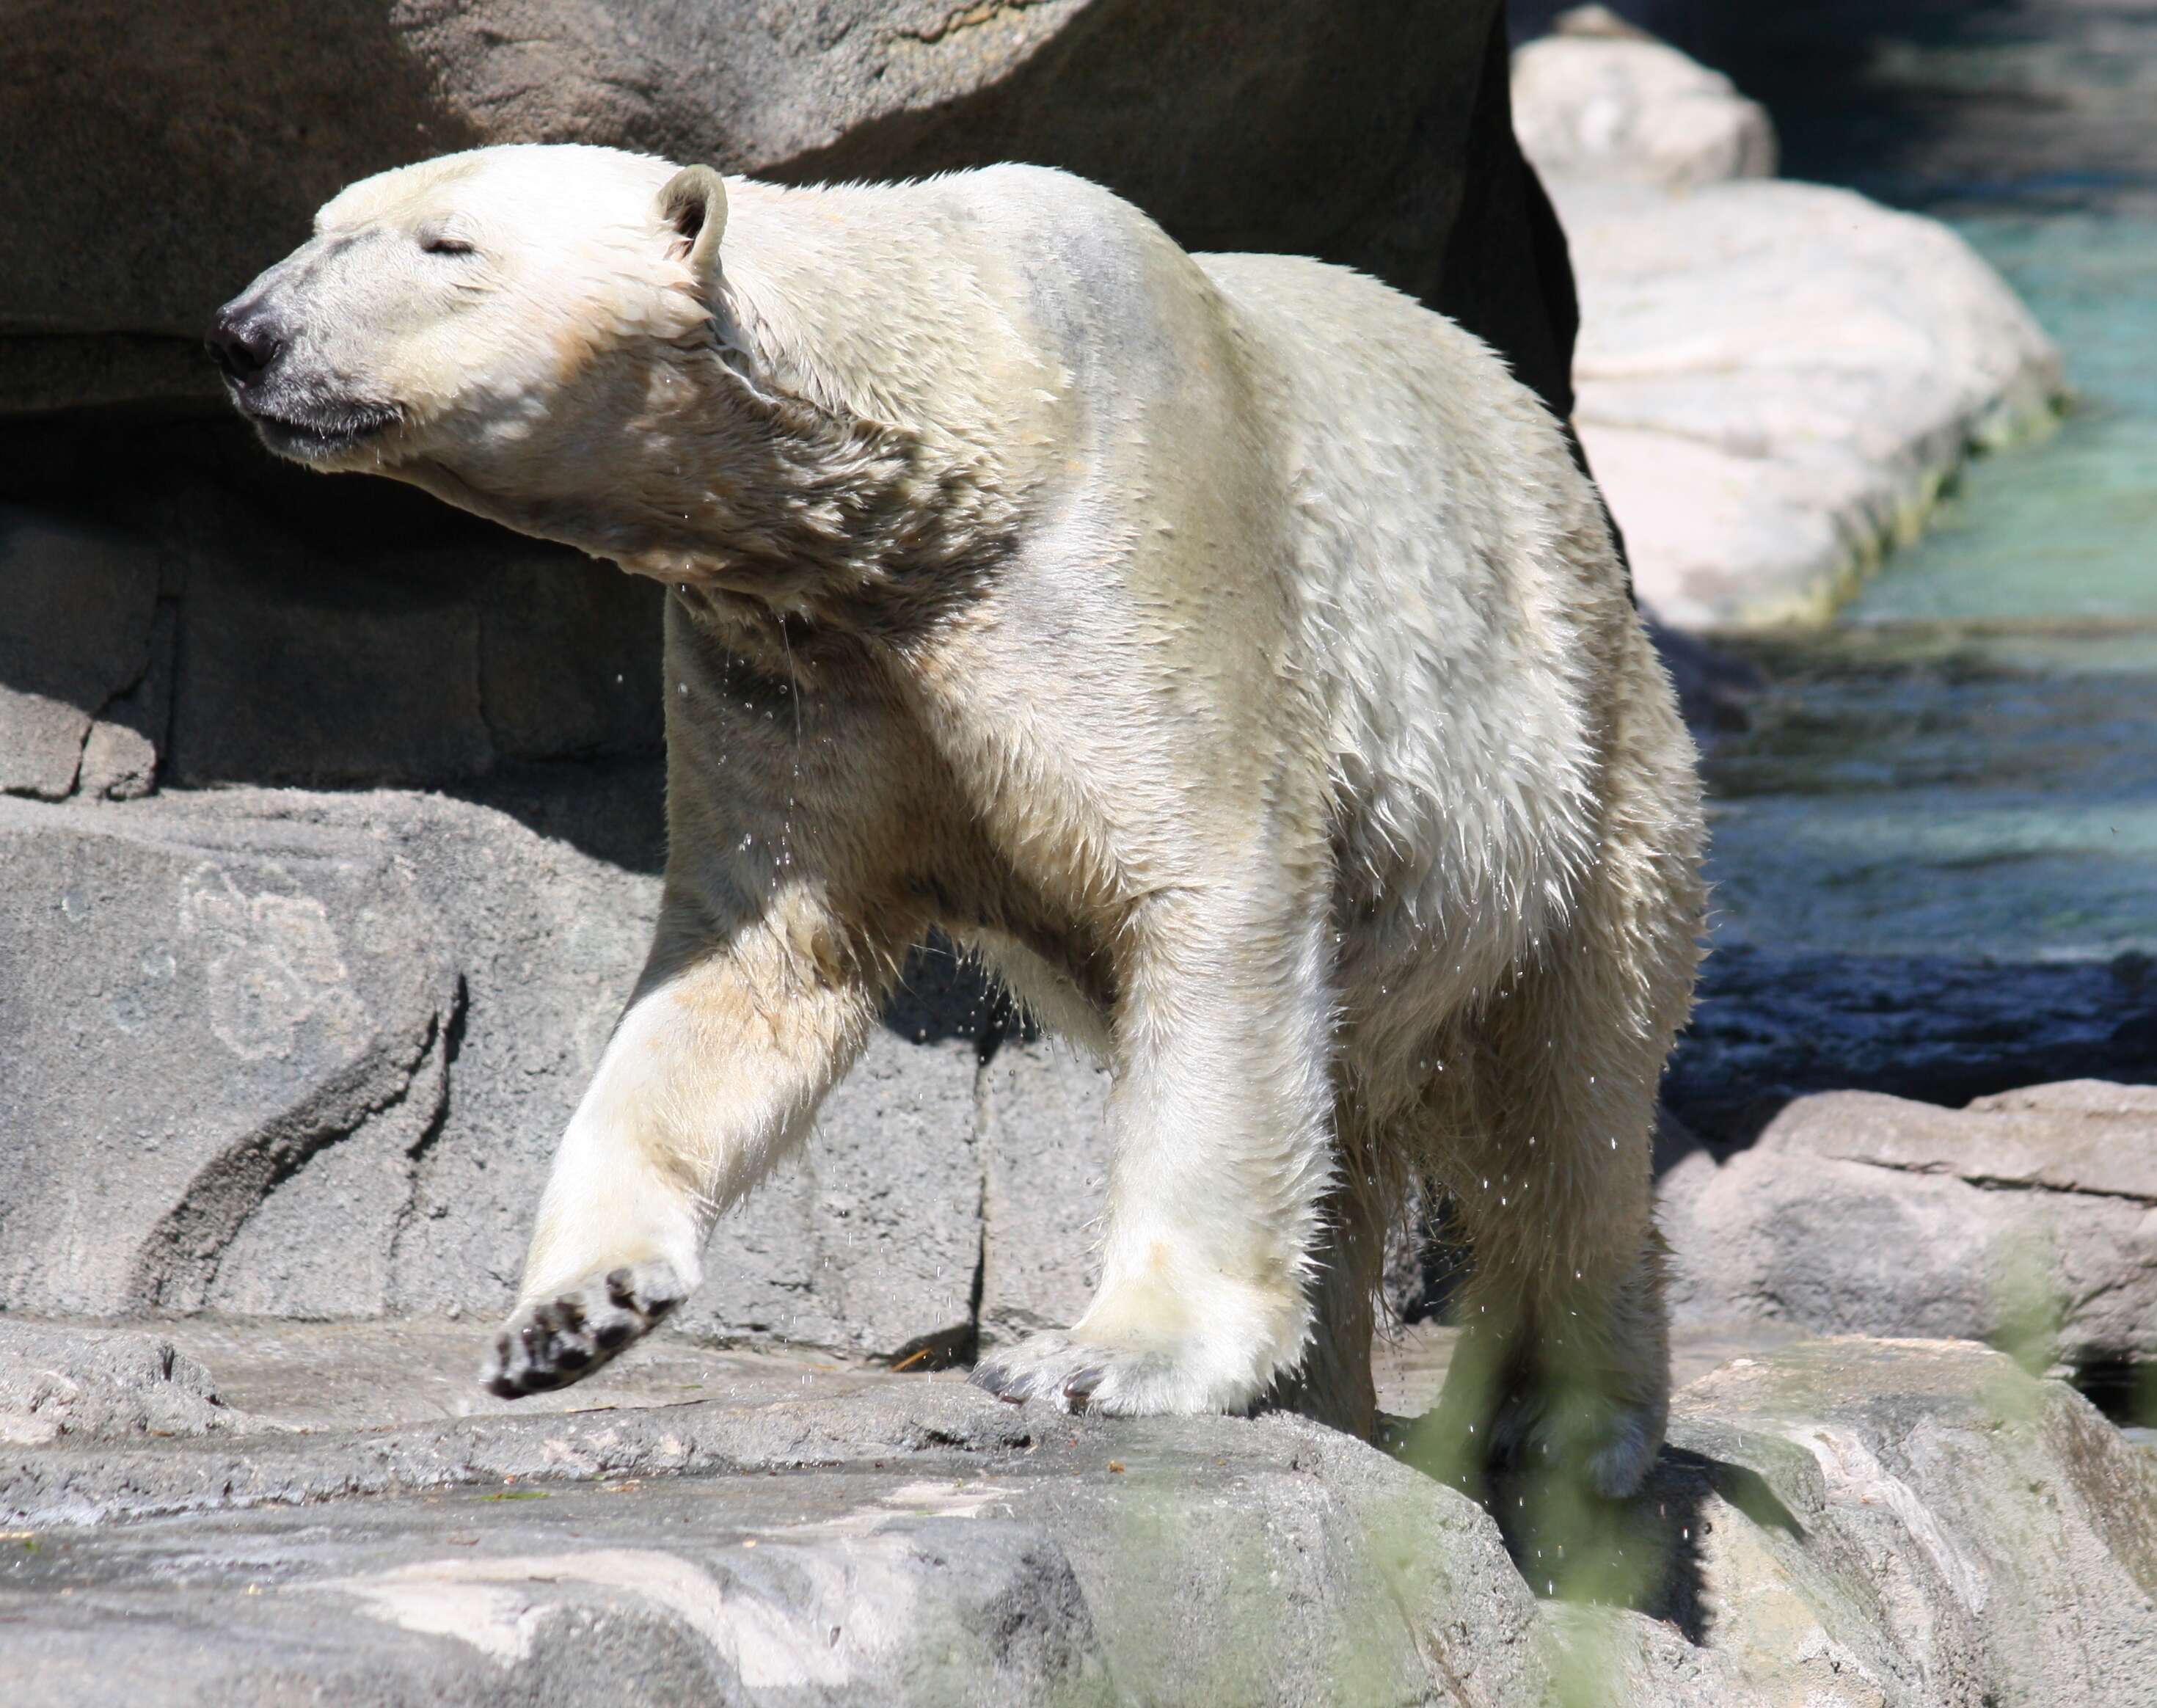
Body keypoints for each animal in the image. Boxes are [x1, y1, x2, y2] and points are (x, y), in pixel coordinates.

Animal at [214, 140, 1699, 1483]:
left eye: (447, 245)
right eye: (324, 222)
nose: (246, 335)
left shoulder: (1135, 551)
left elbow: (1210, 893)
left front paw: (1105, 1356)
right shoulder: (787, 659)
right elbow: (751, 966)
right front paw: (570, 1312)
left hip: (1579, 771)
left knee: (1560, 1102)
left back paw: (1572, 1418)